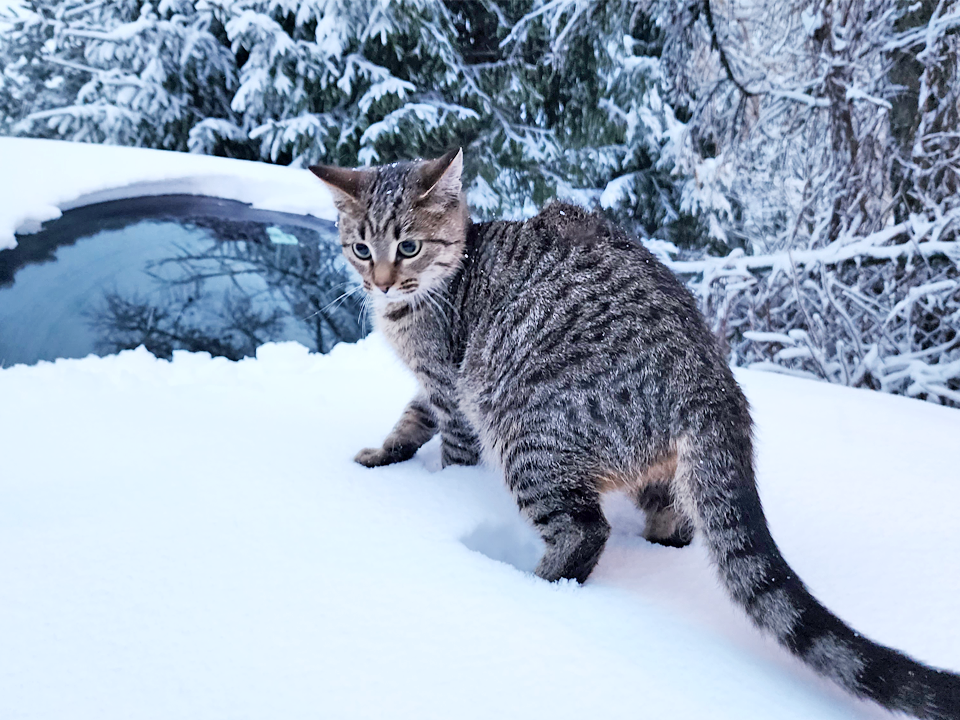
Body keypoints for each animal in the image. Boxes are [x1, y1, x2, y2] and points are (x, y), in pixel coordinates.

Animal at [312, 149, 956, 716]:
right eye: (362, 249)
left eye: (410, 246)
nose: (382, 282)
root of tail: (712, 381)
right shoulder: (433, 391)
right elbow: (409, 420)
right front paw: (382, 456)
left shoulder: (453, 387)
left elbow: (449, 446)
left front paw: (433, 489)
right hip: (655, 472)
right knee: (674, 526)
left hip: (524, 429)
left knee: (584, 531)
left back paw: (528, 587)